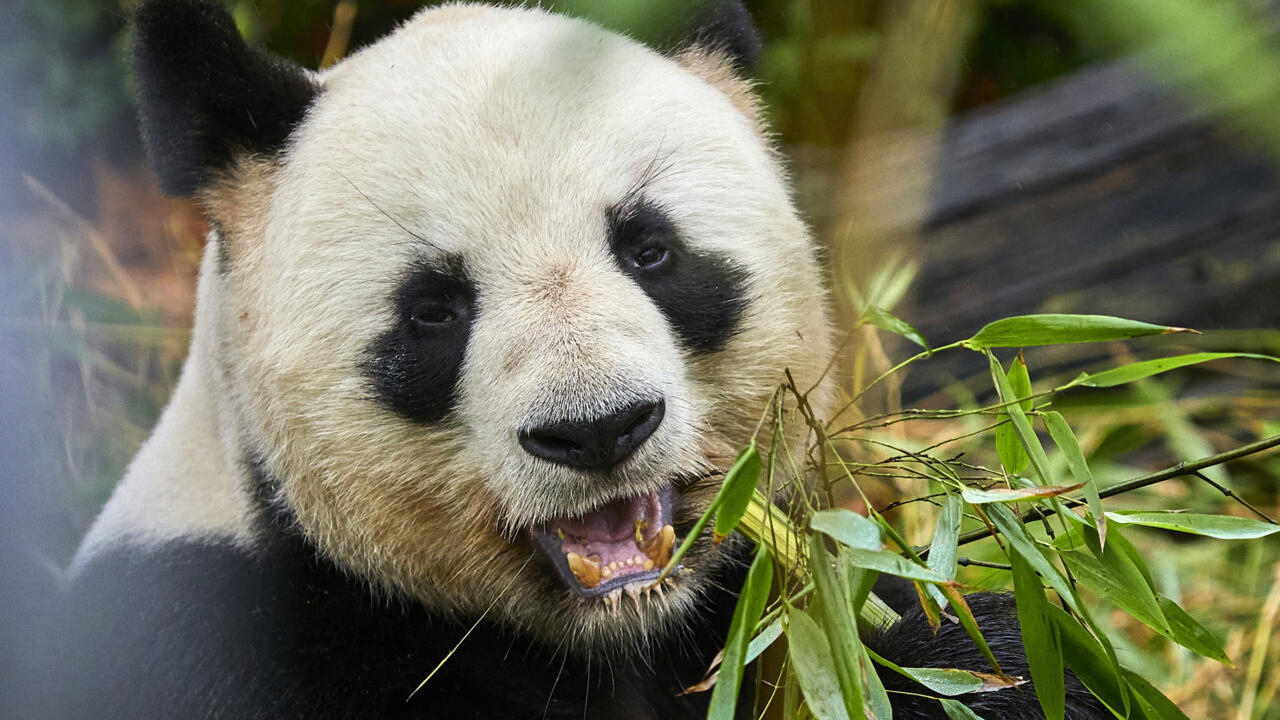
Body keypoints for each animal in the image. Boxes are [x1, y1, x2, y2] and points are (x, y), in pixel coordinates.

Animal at [53, 1, 1106, 719]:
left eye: (649, 250)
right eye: (433, 311)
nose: (598, 430)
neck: (617, 634)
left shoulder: (782, 617)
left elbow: (968, 659)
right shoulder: (226, 641)